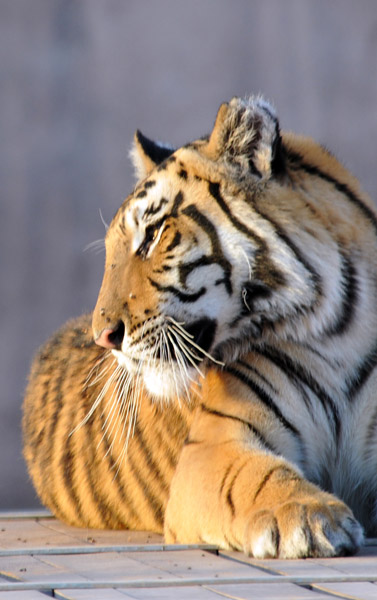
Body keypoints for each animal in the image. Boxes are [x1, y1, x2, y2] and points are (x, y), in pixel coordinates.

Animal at [23, 96, 376, 560]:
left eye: (153, 235)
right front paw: (309, 515)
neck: (336, 332)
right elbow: (256, 476)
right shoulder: (213, 445)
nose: (104, 338)